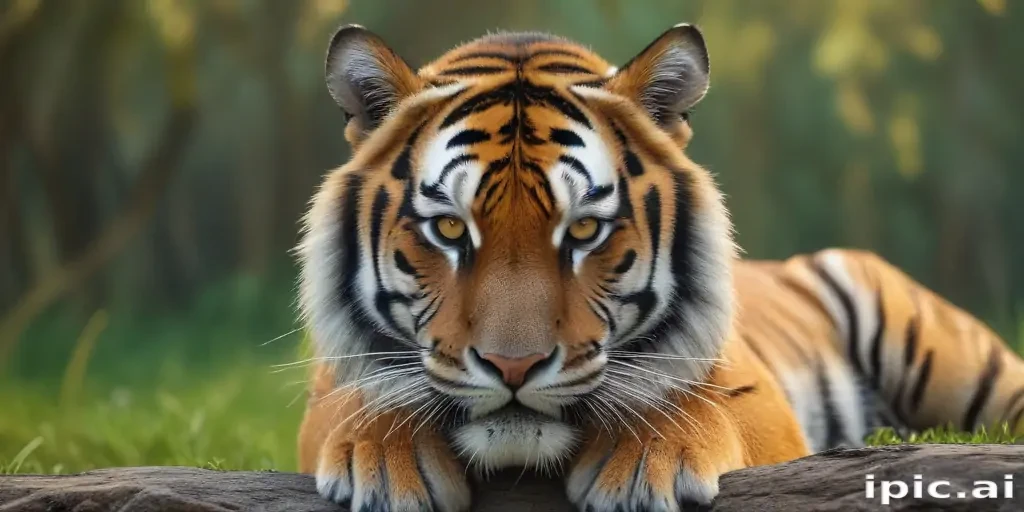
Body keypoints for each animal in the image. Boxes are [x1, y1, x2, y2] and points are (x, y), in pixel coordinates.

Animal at [294, 22, 1024, 512]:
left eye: (584, 229)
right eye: (449, 227)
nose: (513, 368)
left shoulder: (759, 398)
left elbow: (686, 395)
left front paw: (648, 459)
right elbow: (355, 396)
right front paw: (383, 454)